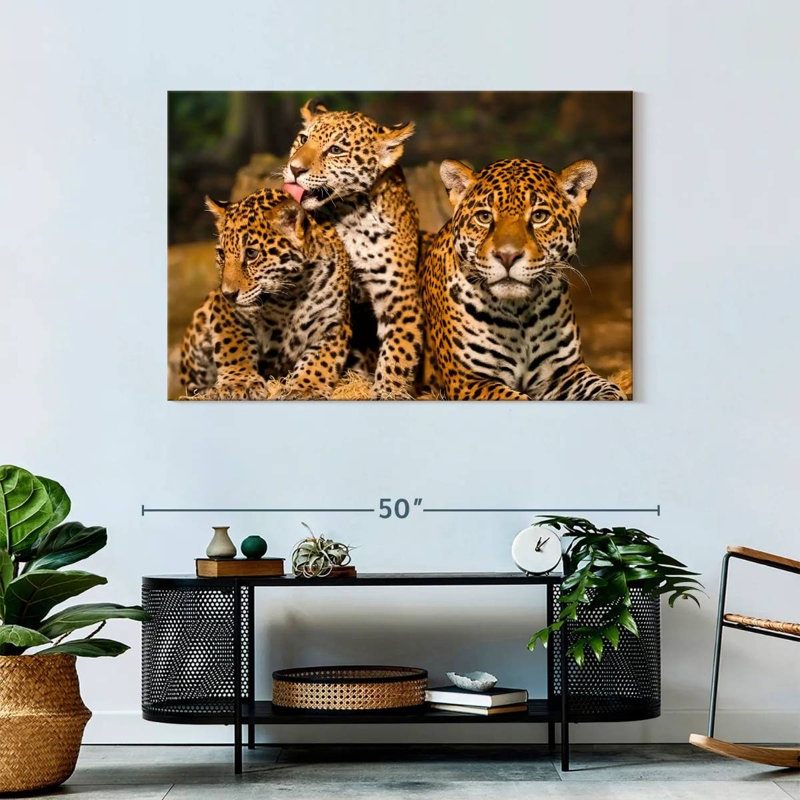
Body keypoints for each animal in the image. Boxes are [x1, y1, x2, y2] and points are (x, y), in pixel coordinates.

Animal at [180, 188, 351, 400]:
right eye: (222, 254)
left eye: (252, 254)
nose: (228, 294)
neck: (290, 296)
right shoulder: (225, 310)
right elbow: (234, 345)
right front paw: (238, 382)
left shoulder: (334, 323)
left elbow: (321, 360)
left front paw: (304, 388)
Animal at [282, 99, 422, 399]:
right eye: (303, 139)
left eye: (336, 150)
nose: (294, 169)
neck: (350, 215)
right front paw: (303, 386)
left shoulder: (400, 296)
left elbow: (399, 350)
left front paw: (388, 391)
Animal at [419, 158, 626, 401]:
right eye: (484, 217)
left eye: (539, 217)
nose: (507, 256)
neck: (519, 313)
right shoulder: (468, 381)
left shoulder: (565, 372)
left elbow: (608, 389)